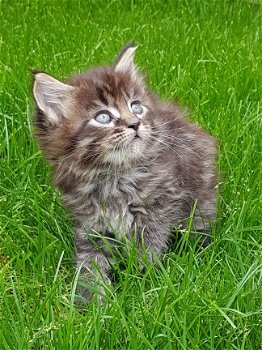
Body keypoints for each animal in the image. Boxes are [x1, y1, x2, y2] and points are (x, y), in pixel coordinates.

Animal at [32, 43, 217, 300]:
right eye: (103, 117)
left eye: (136, 107)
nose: (135, 123)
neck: (113, 176)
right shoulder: (91, 223)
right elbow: (90, 262)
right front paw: (89, 299)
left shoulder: (161, 204)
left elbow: (148, 245)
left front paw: (141, 281)